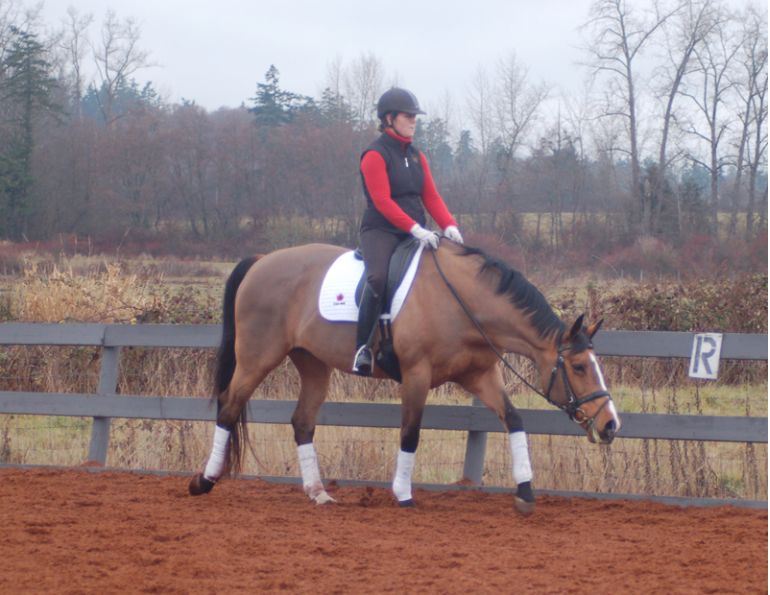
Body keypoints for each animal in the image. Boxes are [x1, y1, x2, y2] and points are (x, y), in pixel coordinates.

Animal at [188, 239, 621, 514]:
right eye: (579, 367)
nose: (611, 424)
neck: (463, 303)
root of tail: (263, 261)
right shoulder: (416, 375)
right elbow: (410, 433)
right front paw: (402, 494)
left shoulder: (481, 375)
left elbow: (514, 421)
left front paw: (526, 492)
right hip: (256, 358)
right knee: (228, 408)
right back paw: (204, 481)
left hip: (312, 364)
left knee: (302, 422)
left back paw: (318, 494)